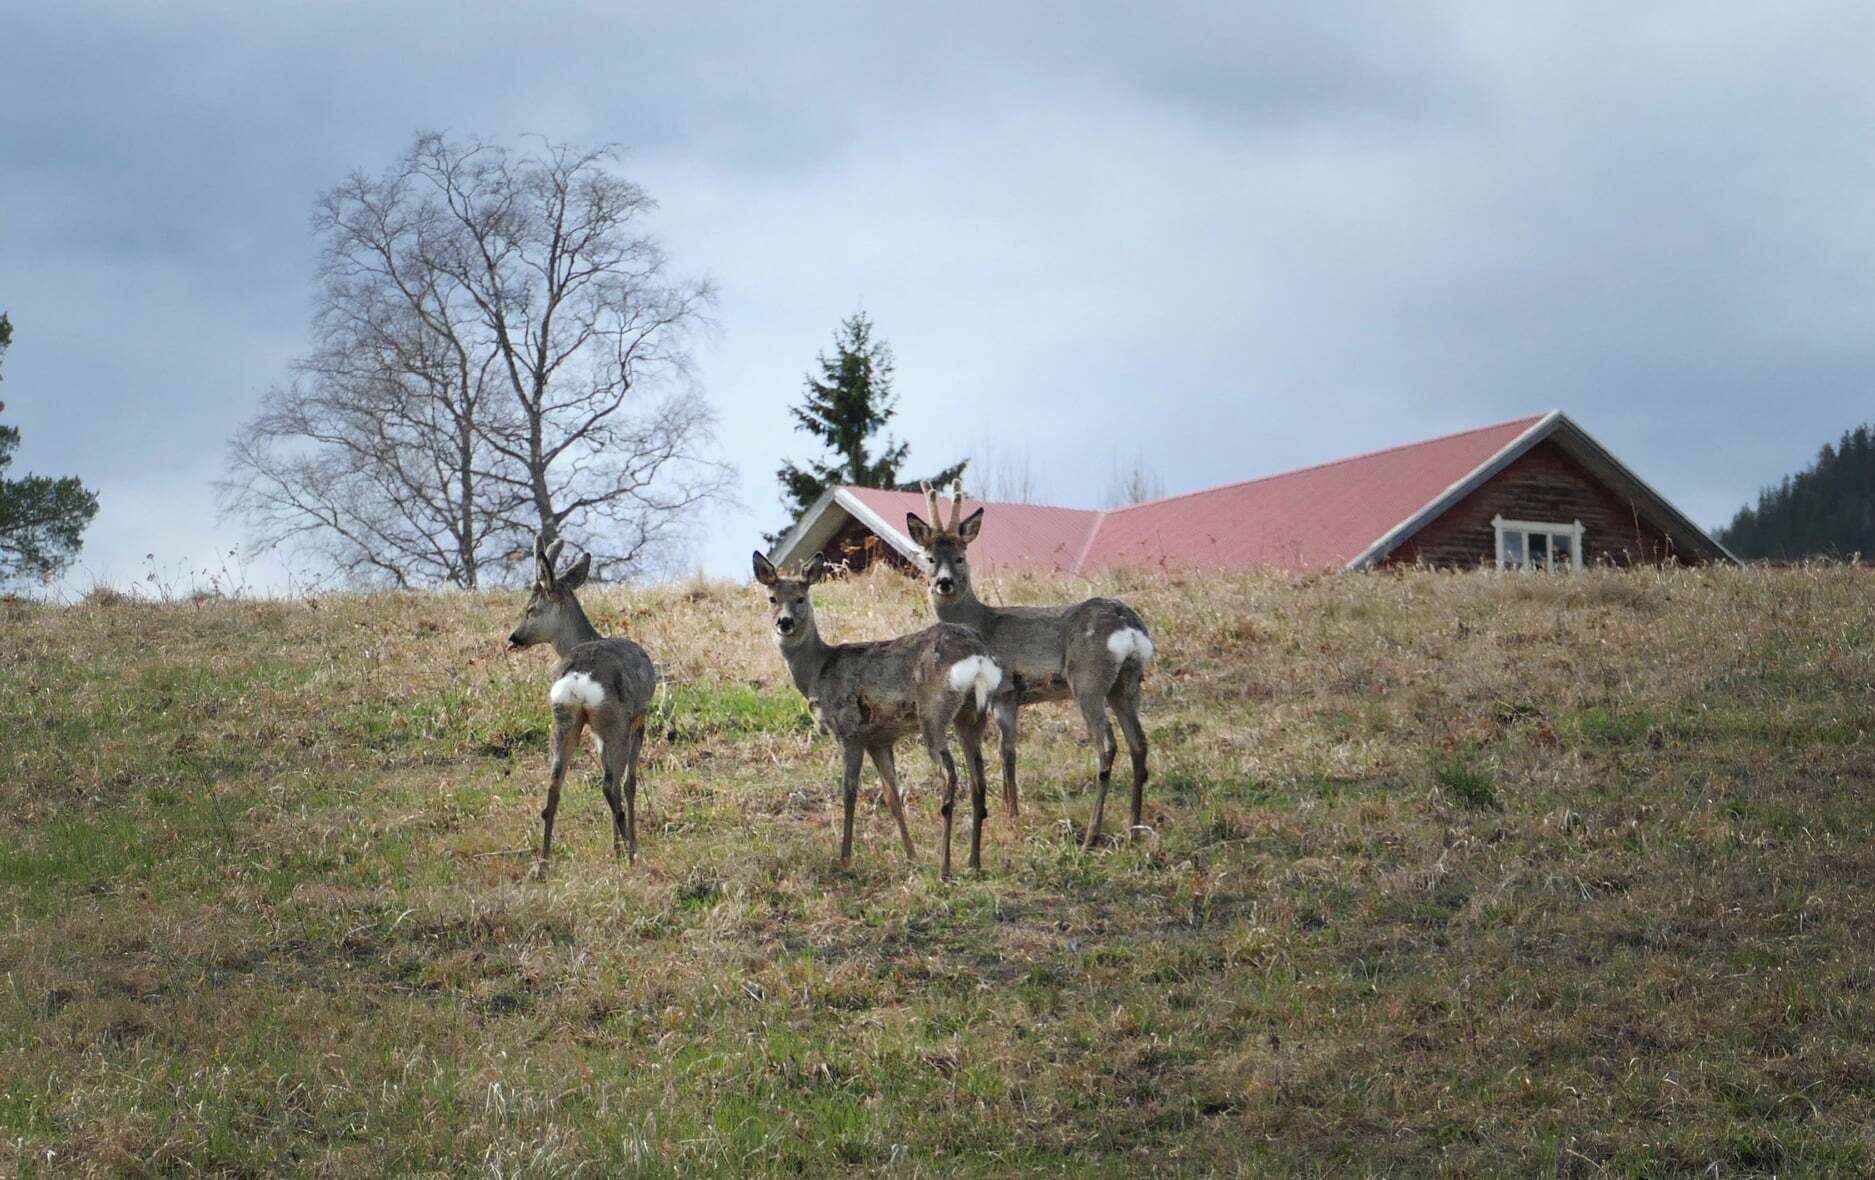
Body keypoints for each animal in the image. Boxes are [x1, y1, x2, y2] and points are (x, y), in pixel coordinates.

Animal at [505, 534, 658, 874]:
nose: (514, 637)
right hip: (614, 719)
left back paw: (543, 865)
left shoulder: (597, 731)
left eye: (530, 609)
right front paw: (625, 846)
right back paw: (633, 854)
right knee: (611, 785)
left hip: (564, 719)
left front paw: (614, 848)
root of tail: (579, 678)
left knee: (553, 788)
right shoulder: (639, 717)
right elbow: (630, 782)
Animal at [752, 550, 1008, 878]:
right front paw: (912, 857)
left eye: (800, 598)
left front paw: (845, 858)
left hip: (933, 712)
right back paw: (973, 862)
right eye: (771, 598)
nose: (784, 622)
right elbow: (892, 796)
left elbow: (849, 791)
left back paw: (945, 865)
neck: (817, 670)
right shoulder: (879, 739)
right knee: (979, 779)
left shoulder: (849, 731)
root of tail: (976, 655)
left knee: (950, 775)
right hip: (973, 714)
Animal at [906, 483, 1155, 849]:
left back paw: (1092, 835)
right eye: (930, 558)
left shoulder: (1003, 690)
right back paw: (1133, 828)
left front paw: (1010, 814)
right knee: (1139, 743)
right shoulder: (1012, 698)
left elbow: (1003, 750)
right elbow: (1009, 750)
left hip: (1088, 679)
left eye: (961, 557)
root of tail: (1130, 624)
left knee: (1108, 744)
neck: (982, 622)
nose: (944, 582)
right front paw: (1012, 813)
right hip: (1127, 683)